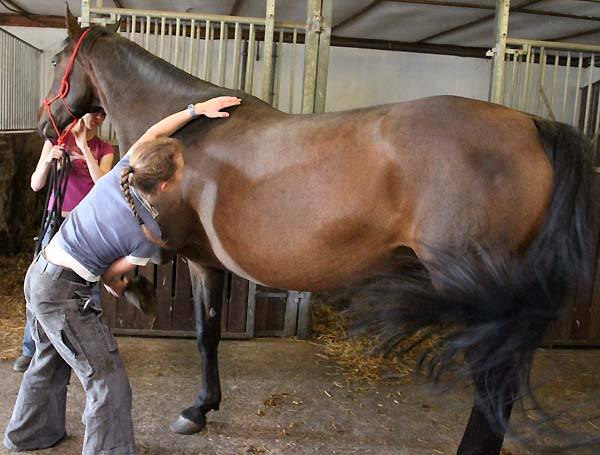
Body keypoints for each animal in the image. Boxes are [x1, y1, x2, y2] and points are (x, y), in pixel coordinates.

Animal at [38, 8, 596, 454]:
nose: (48, 128)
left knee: (492, 382)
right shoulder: (209, 263)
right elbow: (209, 332)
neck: (186, 136)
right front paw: (202, 408)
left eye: (55, 61)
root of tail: (531, 124)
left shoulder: (189, 256)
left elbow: (192, 327)